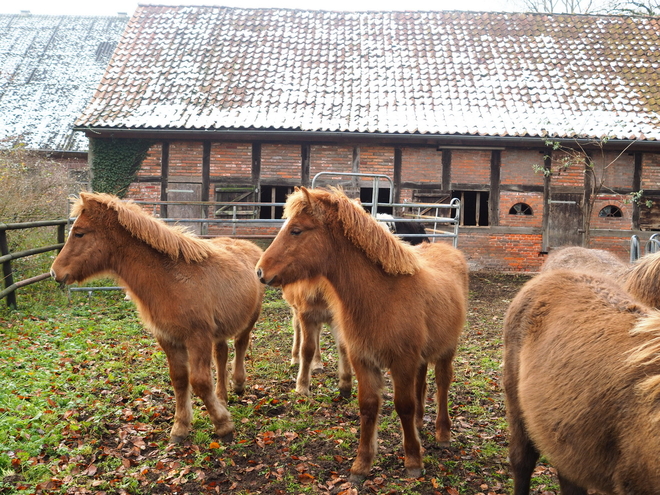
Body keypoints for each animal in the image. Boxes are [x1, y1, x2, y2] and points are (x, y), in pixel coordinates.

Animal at [51, 192, 262, 444]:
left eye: (79, 233)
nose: (54, 272)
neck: (171, 279)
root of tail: (251, 246)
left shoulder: (197, 338)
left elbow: (200, 382)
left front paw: (222, 425)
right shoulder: (168, 338)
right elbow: (179, 380)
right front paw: (180, 427)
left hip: (250, 318)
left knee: (241, 343)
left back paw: (238, 384)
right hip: (219, 331)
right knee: (221, 354)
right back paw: (222, 396)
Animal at [255, 187, 466, 480]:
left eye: (296, 230)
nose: (260, 271)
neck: (382, 295)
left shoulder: (402, 362)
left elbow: (404, 405)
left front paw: (413, 460)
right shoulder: (363, 359)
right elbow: (367, 406)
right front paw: (362, 464)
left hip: (446, 351)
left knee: (443, 384)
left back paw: (442, 433)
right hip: (421, 356)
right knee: (422, 383)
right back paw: (420, 424)